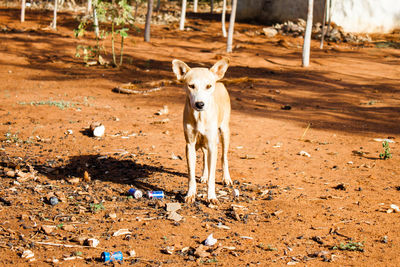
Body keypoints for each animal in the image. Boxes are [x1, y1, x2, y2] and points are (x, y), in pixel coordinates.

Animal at [171, 59, 233, 205]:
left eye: (208, 86)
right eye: (191, 86)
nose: (200, 104)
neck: (199, 117)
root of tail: (219, 82)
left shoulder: (212, 144)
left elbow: (212, 176)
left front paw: (211, 196)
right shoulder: (190, 145)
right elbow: (191, 175)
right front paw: (190, 194)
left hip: (224, 132)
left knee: (224, 157)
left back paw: (226, 178)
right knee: (205, 157)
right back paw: (204, 175)